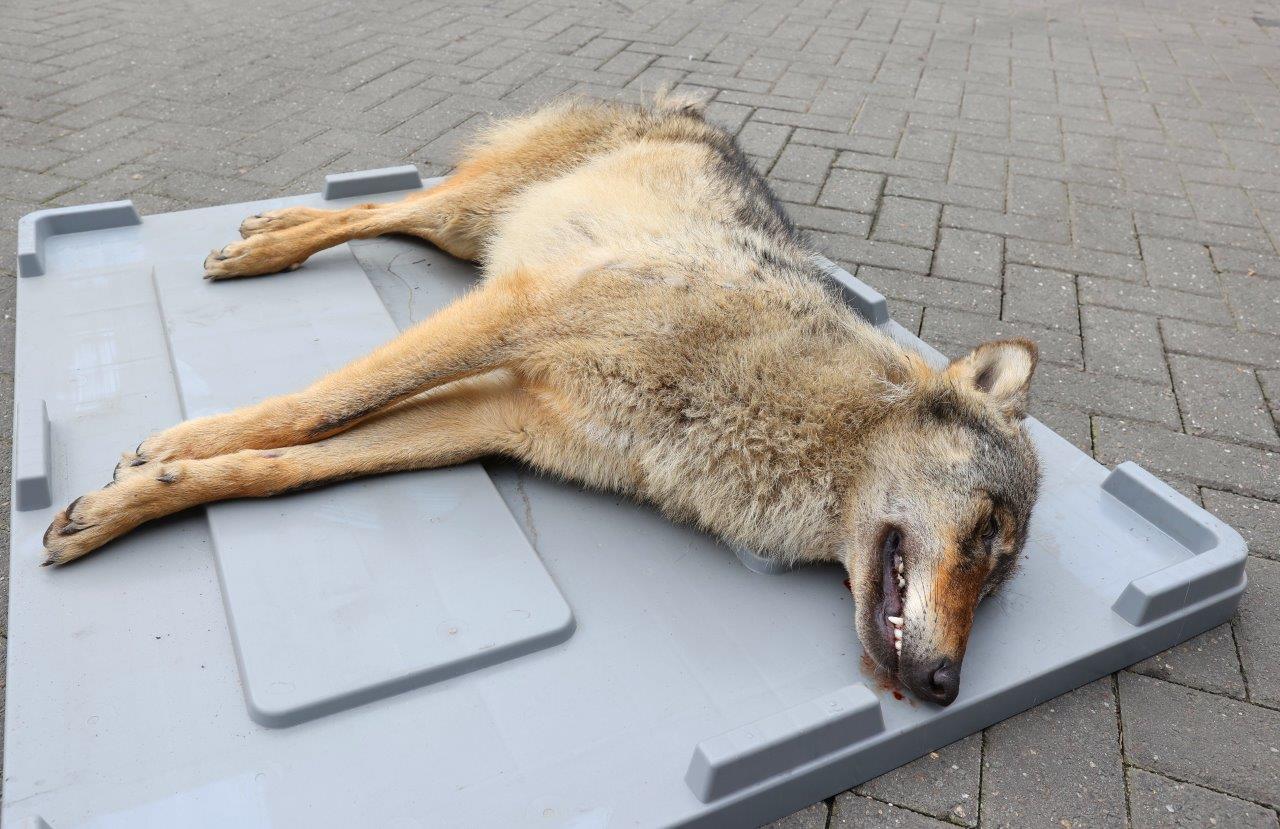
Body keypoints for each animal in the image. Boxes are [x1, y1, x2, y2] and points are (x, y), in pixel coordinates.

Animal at [42, 95, 1041, 706]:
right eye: (989, 531)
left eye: (998, 583)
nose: (948, 686)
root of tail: (692, 110)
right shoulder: (515, 315)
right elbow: (319, 405)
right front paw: (174, 444)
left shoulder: (499, 417)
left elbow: (286, 470)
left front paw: (130, 499)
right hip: (475, 223)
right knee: (379, 209)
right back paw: (268, 243)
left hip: (466, 238)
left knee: (385, 211)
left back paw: (269, 231)